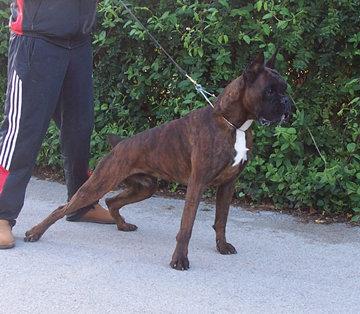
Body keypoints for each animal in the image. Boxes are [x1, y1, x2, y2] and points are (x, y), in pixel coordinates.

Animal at [24, 51, 290, 270]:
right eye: (270, 90)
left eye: (284, 88)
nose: (287, 101)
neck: (233, 124)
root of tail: (120, 143)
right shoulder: (197, 184)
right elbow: (186, 226)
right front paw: (179, 260)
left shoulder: (228, 184)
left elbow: (221, 220)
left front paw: (222, 246)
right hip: (99, 183)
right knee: (63, 208)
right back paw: (35, 232)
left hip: (145, 187)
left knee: (112, 201)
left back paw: (122, 225)